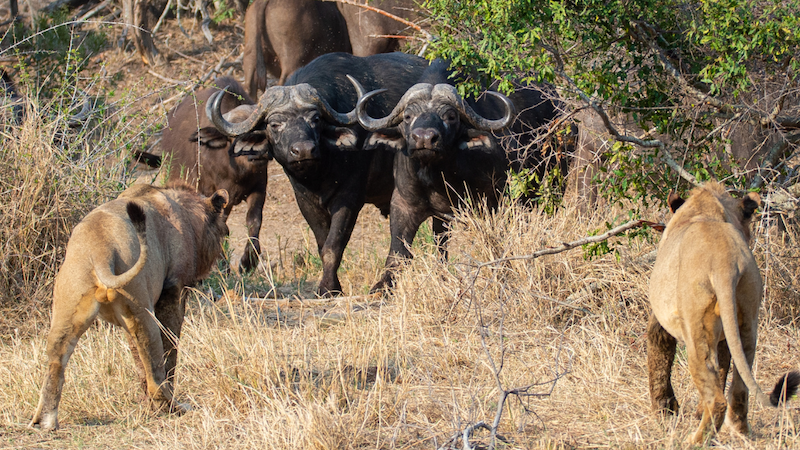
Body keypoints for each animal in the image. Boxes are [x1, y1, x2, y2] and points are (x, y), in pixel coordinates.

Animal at [30, 183, 229, 431]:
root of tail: (100, 250)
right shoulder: (172, 291)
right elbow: (170, 350)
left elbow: (137, 359)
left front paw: (144, 401)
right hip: (142, 307)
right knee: (155, 370)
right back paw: (173, 407)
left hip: (70, 307)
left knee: (56, 361)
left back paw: (45, 420)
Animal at [647, 181, 799, 444]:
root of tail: (724, 262)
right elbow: (722, 369)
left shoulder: (660, 320)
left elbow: (659, 356)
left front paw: (664, 411)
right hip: (747, 322)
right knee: (739, 386)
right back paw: (740, 431)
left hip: (695, 331)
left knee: (717, 399)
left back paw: (696, 441)